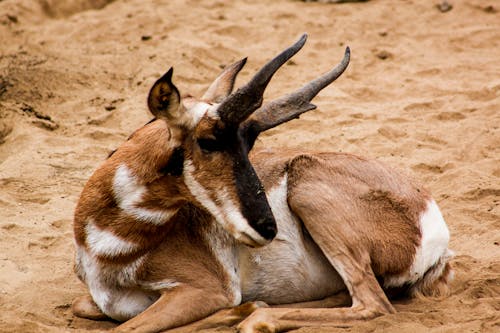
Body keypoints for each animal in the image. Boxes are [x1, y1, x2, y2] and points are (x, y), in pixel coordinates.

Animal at [73, 35, 454, 330]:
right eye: (208, 141)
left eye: (249, 144)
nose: (268, 227)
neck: (105, 245)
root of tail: (427, 211)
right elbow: (88, 308)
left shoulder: (206, 290)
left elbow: (128, 328)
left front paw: (241, 311)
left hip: (307, 188)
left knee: (373, 305)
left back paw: (256, 317)